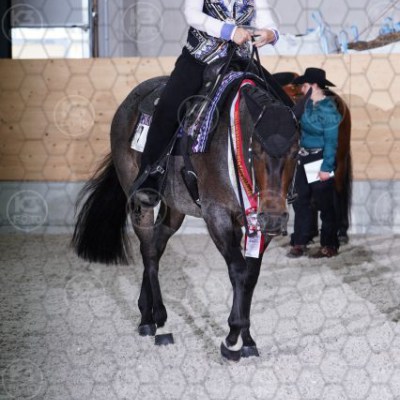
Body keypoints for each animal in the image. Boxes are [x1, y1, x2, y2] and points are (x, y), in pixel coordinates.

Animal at [71, 66, 300, 361]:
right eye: (256, 150)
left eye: (296, 152)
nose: (274, 218)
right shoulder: (217, 215)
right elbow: (238, 270)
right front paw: (232, 337)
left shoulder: (256, 224)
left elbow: (251, 275)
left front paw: (247, 338)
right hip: (140, 201)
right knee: (149, 251)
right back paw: (157, 320)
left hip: (174, 210)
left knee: (156, 246)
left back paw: (145, 314)